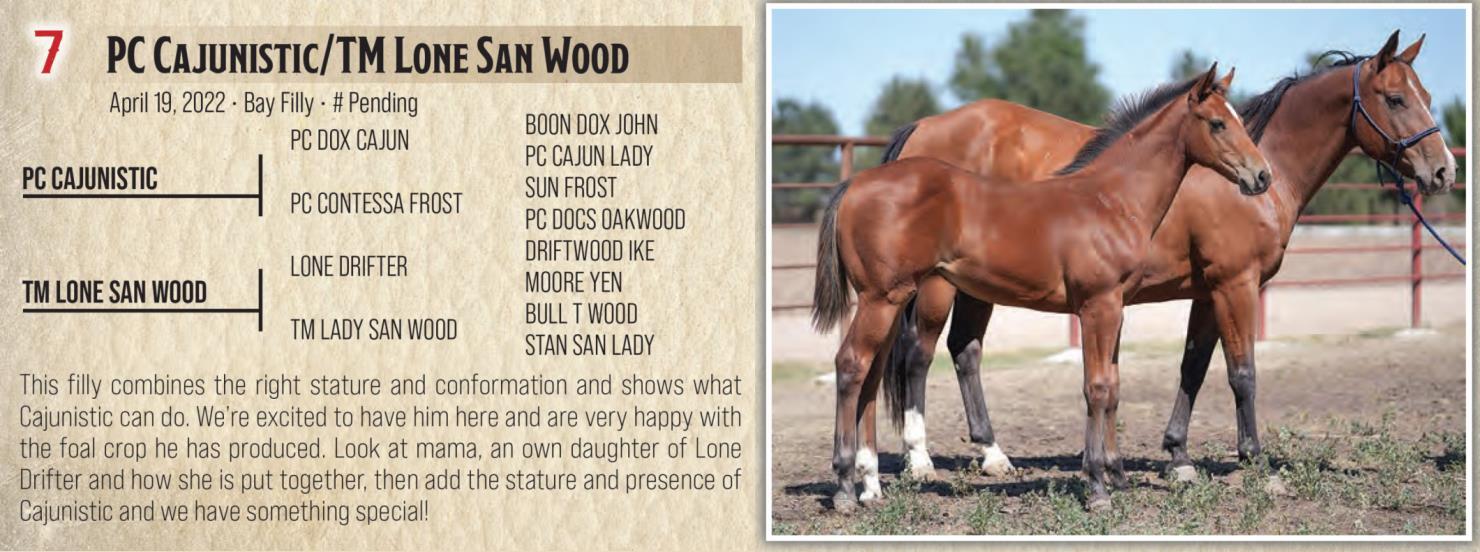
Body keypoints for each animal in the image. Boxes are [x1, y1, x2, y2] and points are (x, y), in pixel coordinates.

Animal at [813, 65, 1270, 511]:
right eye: (1217, 123)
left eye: (1238, 118)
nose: (1261, 175)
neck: (1109, 200)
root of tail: (853, 186)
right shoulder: (1098, 305)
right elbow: (1097, 387)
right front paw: (1098, 487)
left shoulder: (1116, 306)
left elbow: (1113, 385)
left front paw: (1115, 476)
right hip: (885, 298)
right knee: (853, 365)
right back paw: (847, 486)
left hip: (891, 299)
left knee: (872, 373)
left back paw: (871, 485)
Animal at [879, 31, 1456, 484]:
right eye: (1395, 98)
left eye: (1426, 94)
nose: (1444, 171)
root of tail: (923, 128)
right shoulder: (1234, 284)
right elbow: (1242, 372)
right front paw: (1254, 460)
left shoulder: (1206, 292)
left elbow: (1193, 367)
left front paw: (1178, 457)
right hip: (936, 287)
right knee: (918, 354)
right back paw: (919, 461)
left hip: (978, 286)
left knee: (966, 350)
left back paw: (994, 455)